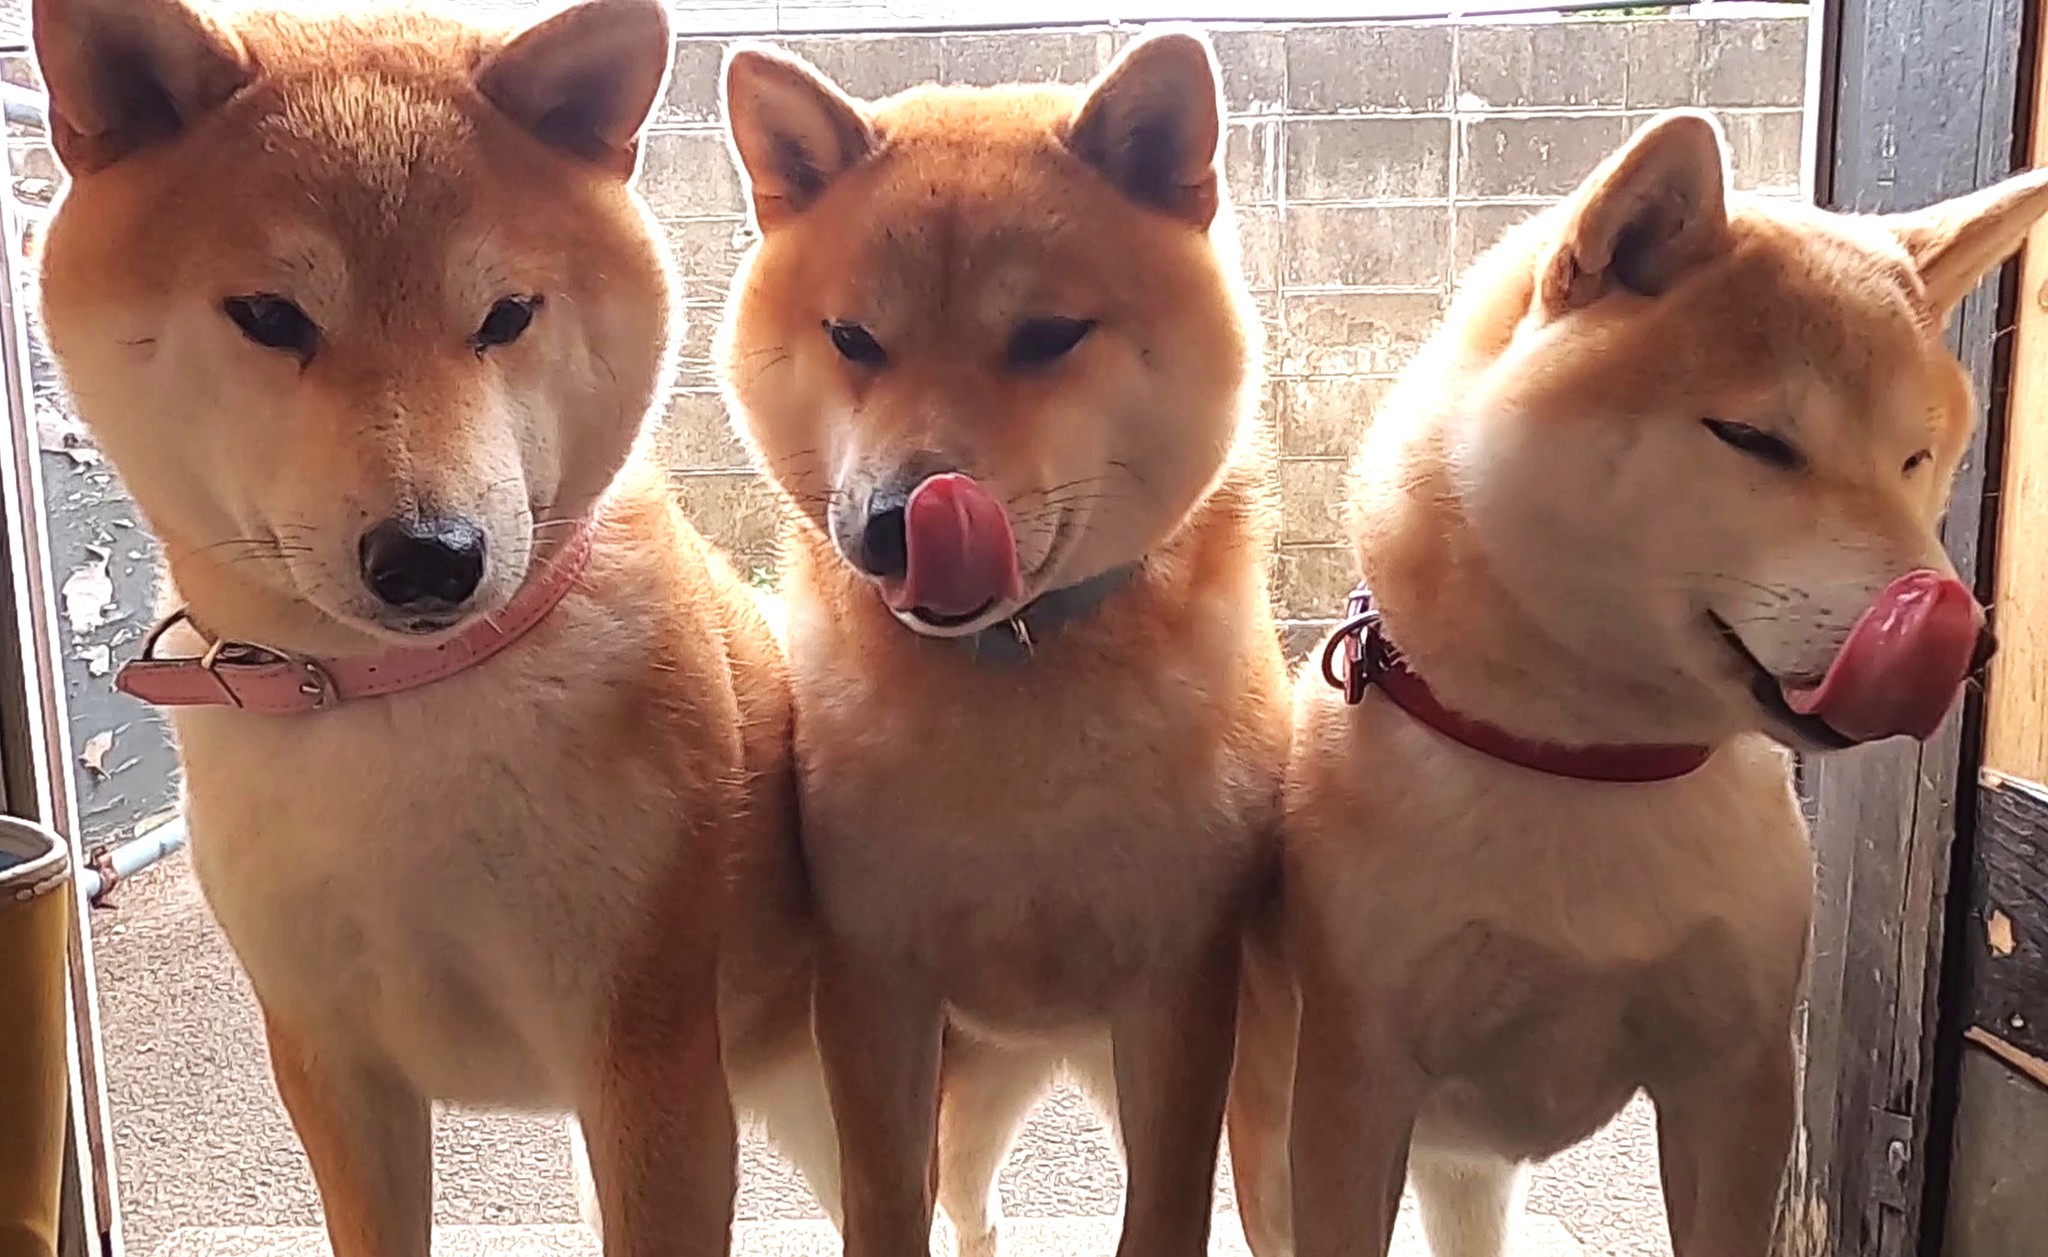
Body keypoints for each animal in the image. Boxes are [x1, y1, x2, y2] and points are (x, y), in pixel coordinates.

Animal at [32, 0, 831, 1252]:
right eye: (268, 316)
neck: (401, 703)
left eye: (506, 315)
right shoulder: (330, 1064)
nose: (430, 557)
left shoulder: (649, 1066)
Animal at [720, 27, 1286, 1257]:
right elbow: (887, 1205)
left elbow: (1164, 1209)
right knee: (965, 1213)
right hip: (965, 1091)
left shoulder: (1179, 994)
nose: (901, 519)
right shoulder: (874, 989)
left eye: (1046, 338)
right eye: (853, 339)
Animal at [1220, 108, 2039, 1257]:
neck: (1590, 764)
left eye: (1916, 459)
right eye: (1752, 439)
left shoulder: (1738, 1081)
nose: (1961, 640)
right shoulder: (1353, 1091)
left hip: (1470, 1173)